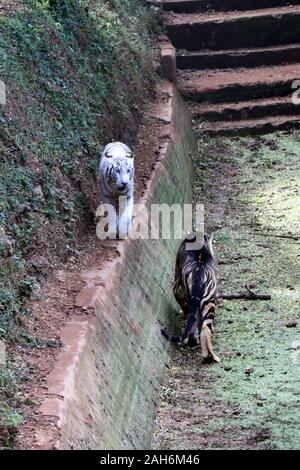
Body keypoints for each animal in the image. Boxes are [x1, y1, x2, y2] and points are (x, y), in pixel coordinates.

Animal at [162, 233, 220, 362]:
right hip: (209, 300)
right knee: (205, 328)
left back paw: (191, 342)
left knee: (193, 324)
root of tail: (200, 271)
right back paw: (211, 356)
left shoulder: (176, 289)